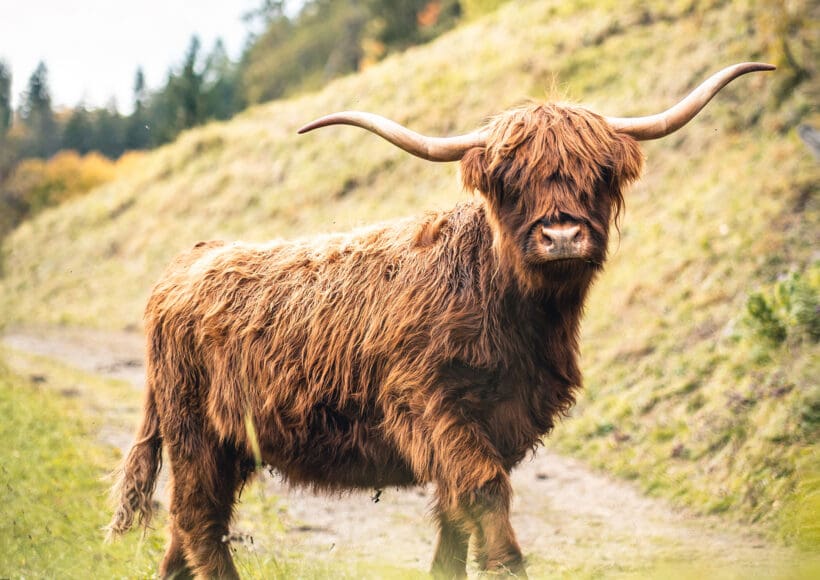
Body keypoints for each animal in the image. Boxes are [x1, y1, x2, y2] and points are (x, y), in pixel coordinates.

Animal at [110, 62, 776, 576]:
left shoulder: (504, 417)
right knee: (197, 521)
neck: (512, 312)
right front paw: (507, 564)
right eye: (511, 181)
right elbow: (483, 492)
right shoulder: (433, 407)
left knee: (185, 536)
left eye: (597, 174)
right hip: (196, 434)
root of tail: (185, 265)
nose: (562, 235)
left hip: (226, 443)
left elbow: (456, 517)